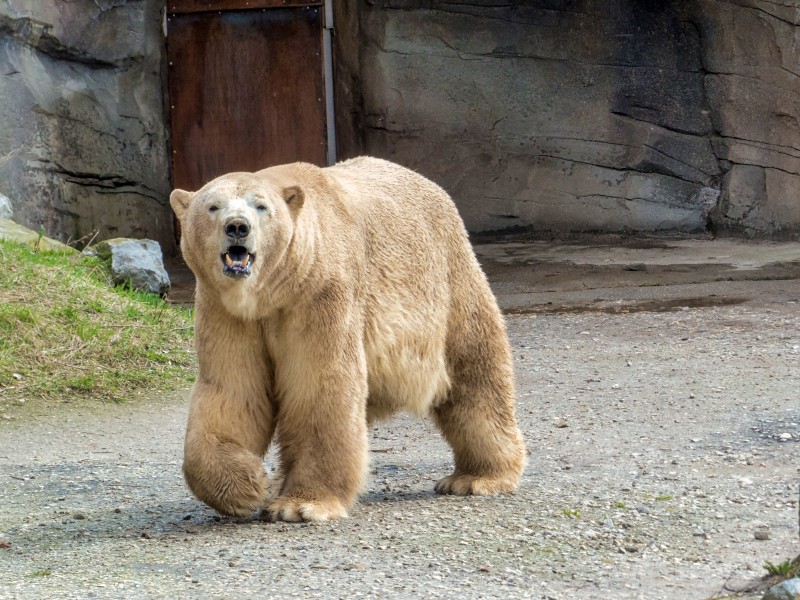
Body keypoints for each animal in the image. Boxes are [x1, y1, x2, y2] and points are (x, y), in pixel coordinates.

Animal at [170, 157, 524, 524]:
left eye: (261, 206)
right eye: (213, 206)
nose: (237, 227)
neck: (274, 291)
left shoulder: (320, 293)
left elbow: (322, 385)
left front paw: (301, 504)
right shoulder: (228, 311)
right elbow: (232, 389)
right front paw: (249, 485)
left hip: (449, 279)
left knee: (474, 368)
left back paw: (476, 477)